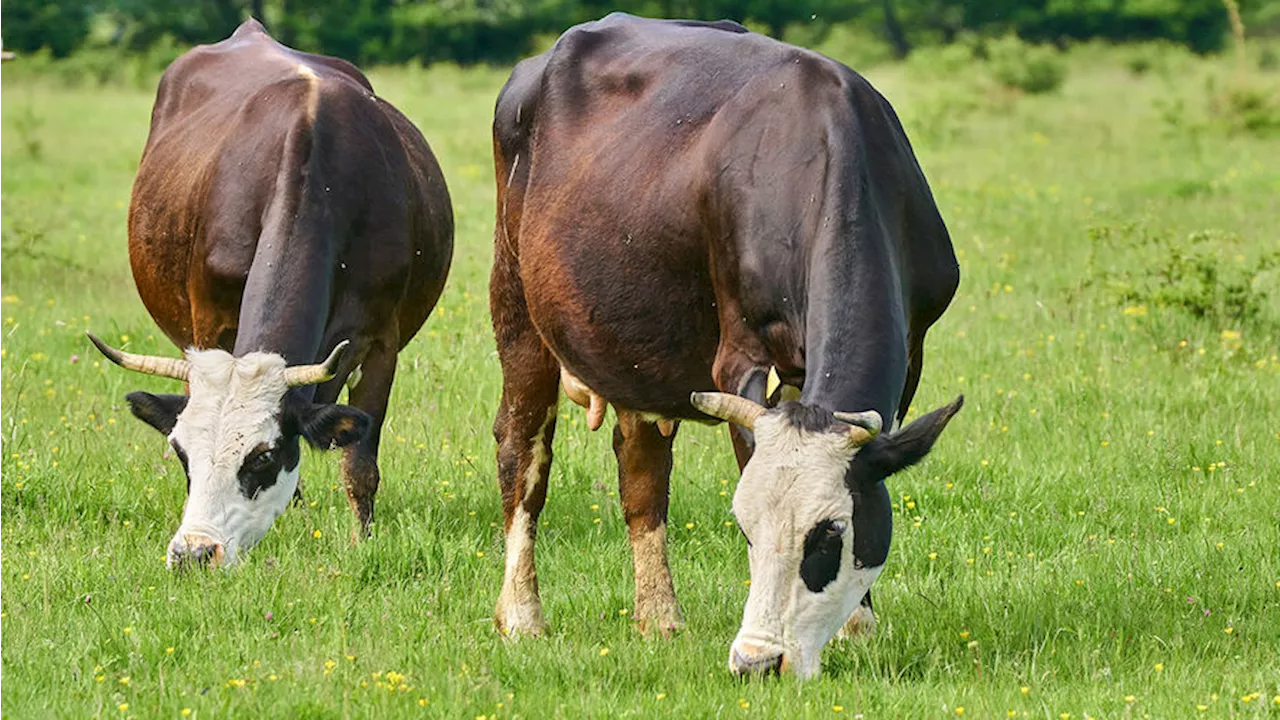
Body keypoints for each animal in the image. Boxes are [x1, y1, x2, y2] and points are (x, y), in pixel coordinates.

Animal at [87, 20, 455, 566]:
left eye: (262, 458)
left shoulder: (381, 342)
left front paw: (361, 542)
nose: (194, 553)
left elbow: (360, 465)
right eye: (181, 455)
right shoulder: (209, 321)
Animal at [486, 14, 962, 676]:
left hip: (633, 341)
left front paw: (859, 627)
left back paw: (659, 618)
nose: (756, 663)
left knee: (641, 472)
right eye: (746, 527)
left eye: (830, 533)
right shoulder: (741, 354)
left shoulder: (913, 349)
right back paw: (523, 616)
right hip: (516, 302)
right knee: (523, 450)